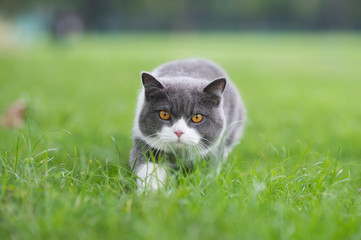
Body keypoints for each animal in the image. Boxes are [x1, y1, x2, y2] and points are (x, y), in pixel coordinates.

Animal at [129, 58, 245, 191]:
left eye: (197, 117)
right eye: (164, 114)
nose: (179, 132)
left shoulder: (214, 151)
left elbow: (207, 170)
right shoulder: (144, 143)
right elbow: (147, 168)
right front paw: (150, 193)